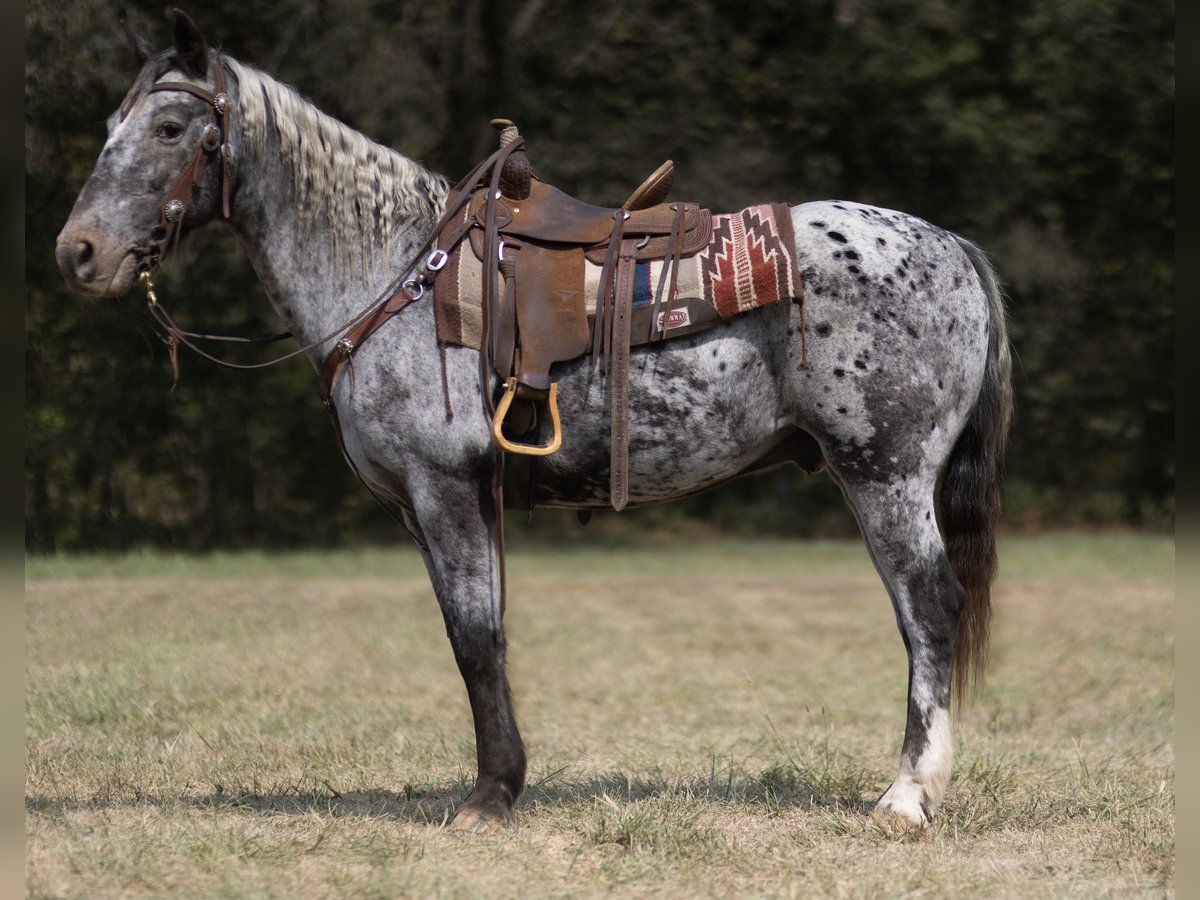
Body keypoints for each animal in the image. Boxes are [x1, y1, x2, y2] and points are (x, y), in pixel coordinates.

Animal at [58, 12, 1012, 830]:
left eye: (170, 129)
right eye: (112, 122)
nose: (79, 253)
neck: (395, 272)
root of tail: (955, 249)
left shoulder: (446, 489)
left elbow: (476, 640)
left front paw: (490, 798)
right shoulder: (428, 509)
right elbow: (475, 634)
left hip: (884, 475)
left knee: (928, 607)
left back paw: (907, 796)